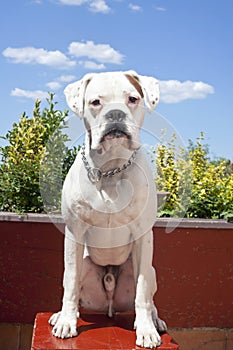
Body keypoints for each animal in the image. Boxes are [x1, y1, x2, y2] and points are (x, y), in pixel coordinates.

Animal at [49, 70, 167, 348]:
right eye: (95, 102)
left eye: (133, 99)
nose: (115, 114)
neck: (111, 169)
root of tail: (110, 307)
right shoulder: (75, 232)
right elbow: (71, 284)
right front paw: (66, 322)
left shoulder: (143, 236)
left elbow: (142, 293)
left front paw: (146, 330)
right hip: (83, 263)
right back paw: (62, 314)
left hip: (150, 270)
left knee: (149, 296)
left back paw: (155, 320)